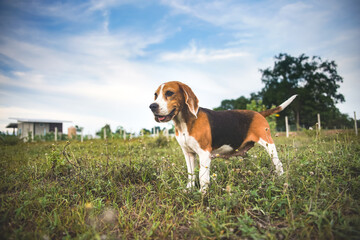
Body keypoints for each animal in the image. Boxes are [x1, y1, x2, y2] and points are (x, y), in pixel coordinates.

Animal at [150, 81, 298, 192]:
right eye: (155, 95)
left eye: (169, 93)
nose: (152, 106)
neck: (184, 123)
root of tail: (258, 113)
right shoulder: (188, 154)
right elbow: (191, 175)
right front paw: (189, 190)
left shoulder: (204, 154)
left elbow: (203, 177)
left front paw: (202, 194)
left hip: (268, 144)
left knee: (278, 163)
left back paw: (281, 179)